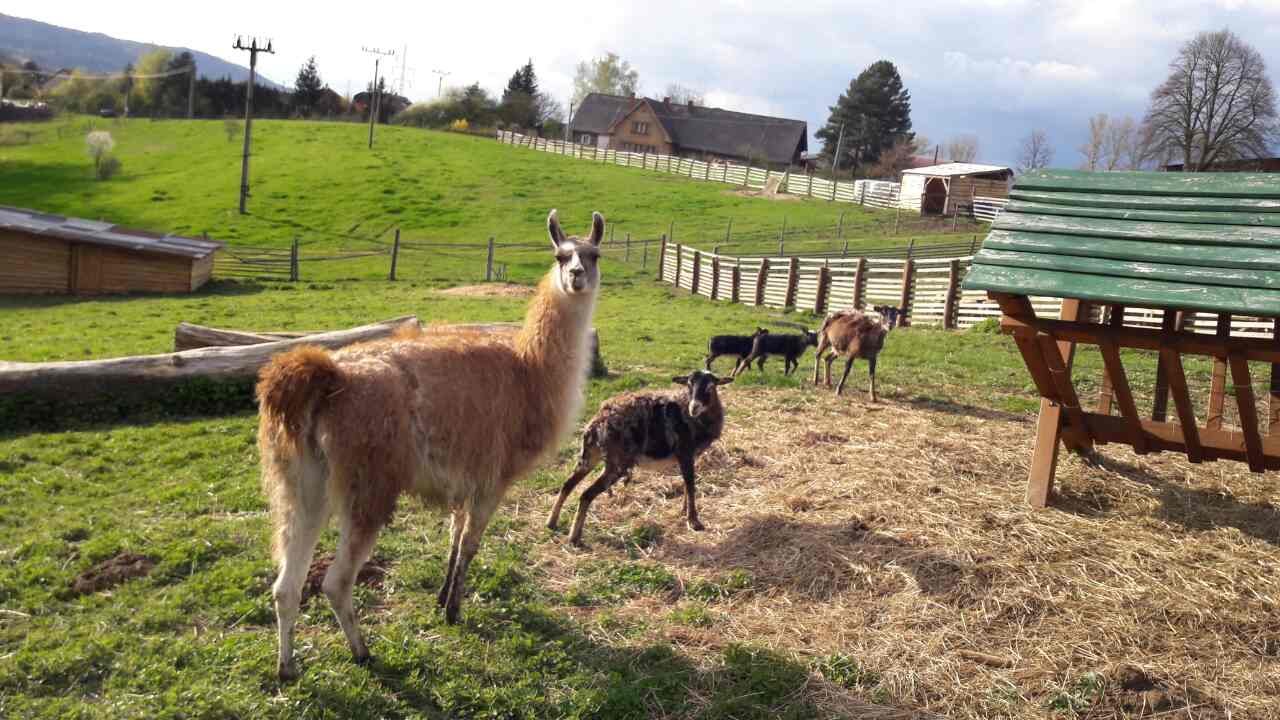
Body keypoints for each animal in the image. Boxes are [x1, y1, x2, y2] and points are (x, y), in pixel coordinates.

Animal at [257, 207, 606, 676]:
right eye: (560, 255)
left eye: (594, 254)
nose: (576, 276)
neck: (531, 372)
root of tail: (328, 377)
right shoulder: (493, 476)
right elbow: (471, 544)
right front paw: (455, 611)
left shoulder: (464, 474)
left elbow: (454, 537)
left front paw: (442, 598)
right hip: (368, 484)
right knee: (335, 582)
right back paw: (362, 652)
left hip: (300, 481)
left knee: (285, 584)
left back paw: (287, 667)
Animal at [547, 368, 732, 543]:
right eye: (688, 385)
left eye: (711, 387)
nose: (694, 408)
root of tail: (598, 423)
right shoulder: (684, 452)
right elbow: (691, 484)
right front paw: (694, 521)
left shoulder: (691, 456)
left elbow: (688, 484)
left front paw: (684, 511)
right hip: (618, 463)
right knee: (586, 495)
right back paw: (574, 537)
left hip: (590, 455)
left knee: (568, 484)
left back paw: (552, 522)